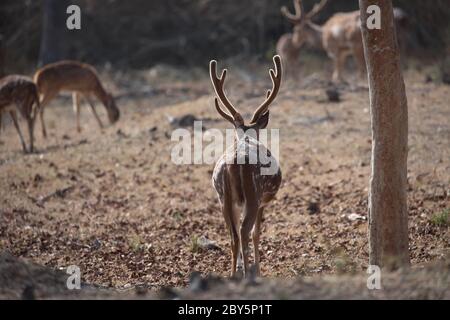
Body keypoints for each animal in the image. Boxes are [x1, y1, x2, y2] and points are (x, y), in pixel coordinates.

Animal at [210, 55, 282, 278]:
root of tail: (233, 164)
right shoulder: (262, 202)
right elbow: (257, 234)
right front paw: (258, 269)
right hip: (253, 193)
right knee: (243, 231)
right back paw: (248, 274)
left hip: (223, 197)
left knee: (233, 235)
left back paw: (233, 274)